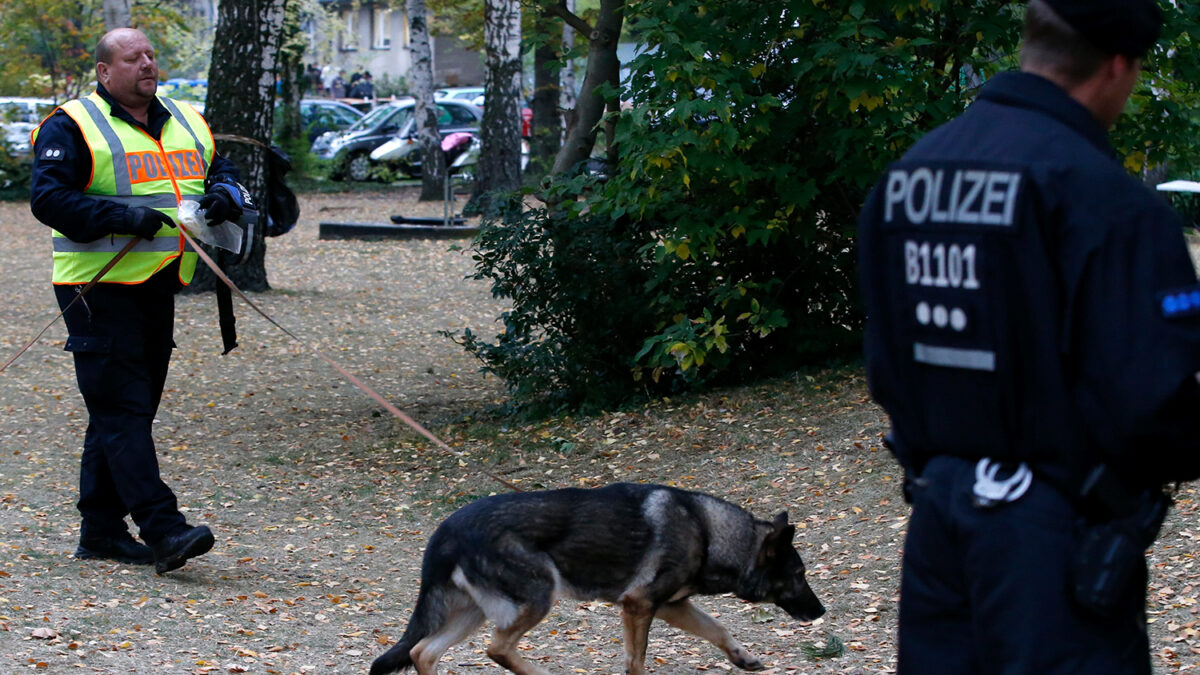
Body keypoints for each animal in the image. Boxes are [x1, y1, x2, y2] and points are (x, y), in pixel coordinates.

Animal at [369, 480, 830, 672]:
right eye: (800, 574)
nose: (821, 612)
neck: (707, 531)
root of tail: (445, 530)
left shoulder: (671, 607)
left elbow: (717, 629)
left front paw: (743, 658)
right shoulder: (639, 606)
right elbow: (636, 661)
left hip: (473, 614)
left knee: (422, 652)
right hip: (538, 596)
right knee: (497, 649)